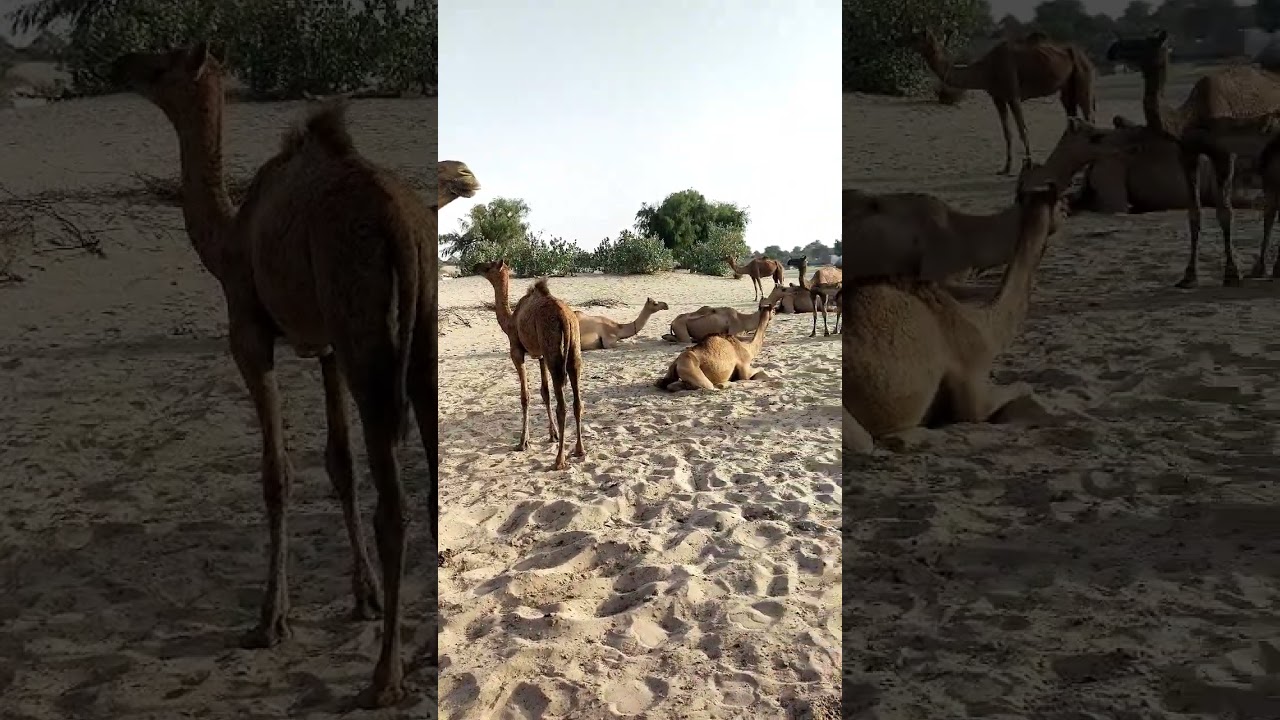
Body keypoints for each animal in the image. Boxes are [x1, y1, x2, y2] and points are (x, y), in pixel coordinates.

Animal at [110, 43, 478, 708]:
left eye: (163, 64)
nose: (122, 64)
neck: (229, 236)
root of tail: (403, 225)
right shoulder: (325, 346)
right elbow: (338, 465)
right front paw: (364, 597)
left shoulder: (251, 334)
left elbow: (276, 474)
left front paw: (269, 621)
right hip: (415, 337)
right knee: (426, 469)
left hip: (366, 331)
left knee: (395, 505)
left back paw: (384, 678)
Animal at [479, 260, 585, 470]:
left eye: (489, 266)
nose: (475, 266)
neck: (510, 321)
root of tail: (566, 318)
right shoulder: (541, 356)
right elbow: (544, 393)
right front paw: (552, 435)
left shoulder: (517, 351)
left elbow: (525, 396)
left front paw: (523, 442)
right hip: (573, 354)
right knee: (577, 401)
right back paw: (579, 450)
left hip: (554, 353)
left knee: (562, 406)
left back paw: (559, 460)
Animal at [843, 181, 1062, 453]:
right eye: (1062, 203)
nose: (1071, 209)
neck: (983, 323)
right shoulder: (972, 380)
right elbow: (1019, 388)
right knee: (865, 443)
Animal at [904, 28, 1097, 174]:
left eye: (915, 38)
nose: (901, 41)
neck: (986, 69)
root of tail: (1084, 55)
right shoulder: (998, 98)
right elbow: (1007, 132)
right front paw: (1006, 168)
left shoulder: (1013, 95)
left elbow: (1022, 129)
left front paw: (1028, 164)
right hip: (1067, 88)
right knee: (1072, 118)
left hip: (1083, 77)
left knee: (1089, 116)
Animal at [1108, 29, 1280, 287]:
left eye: (1144, 43)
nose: (1113, 49)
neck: (1190, 119)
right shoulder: (1187, 155)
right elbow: (1194, 213)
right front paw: (1189, 275)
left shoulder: (1224, 155)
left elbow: (1225, 211)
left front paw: (1232, 273)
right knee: (1272, 204)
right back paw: (1260, 269)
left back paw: (1271, 268)